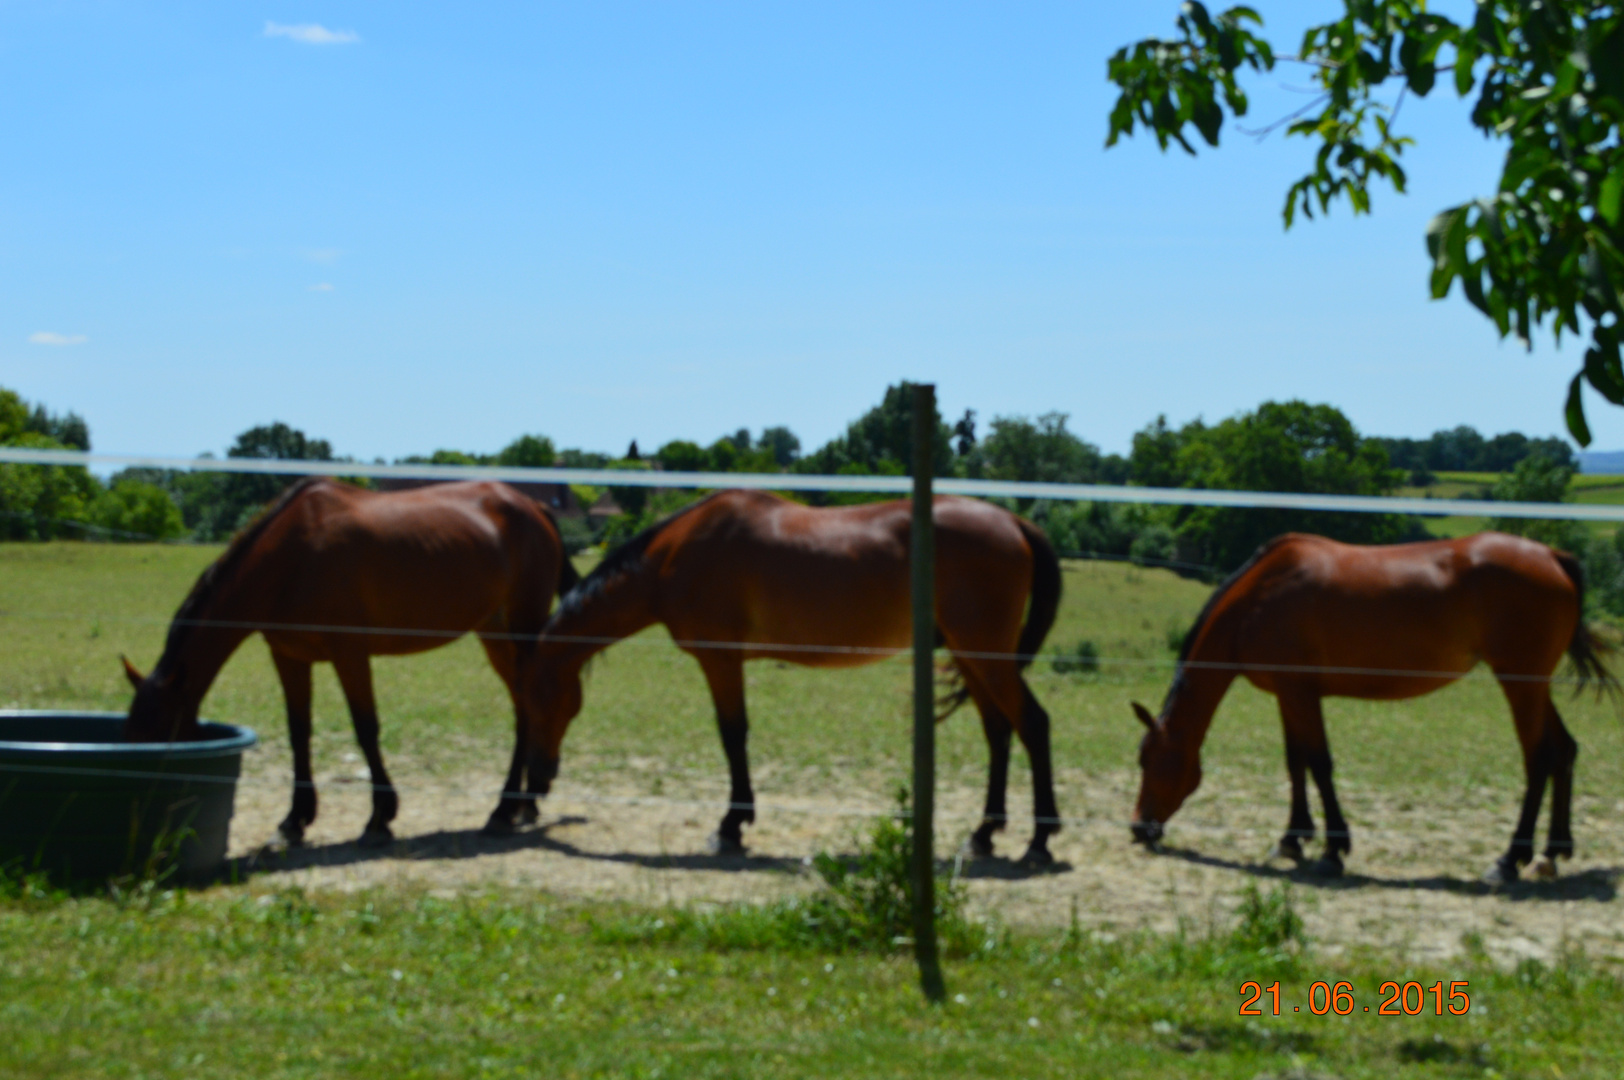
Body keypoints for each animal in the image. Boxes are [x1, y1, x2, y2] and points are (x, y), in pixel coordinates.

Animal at [128, 477, 584, 844]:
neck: (294, 554)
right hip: (493, 632)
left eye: (160, 732)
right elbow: (298, 732)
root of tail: (533, 507)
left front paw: (380, 818)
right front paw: (294, 820)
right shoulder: (289, 656)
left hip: (523, 628)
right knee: (522, 703)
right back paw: (524, 804)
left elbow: (366, 729)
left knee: (530, 703)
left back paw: (507, 808)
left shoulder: (349, 654)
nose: (146, 806)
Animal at [496, 493, 1078, 864]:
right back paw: (984, 834)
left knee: (1035, 725)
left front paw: (731, 825)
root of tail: (1014, 522)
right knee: (999, 733)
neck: (675, 556)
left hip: (987, 655)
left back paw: (1040, 841)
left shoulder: (720, 660)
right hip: (972, 655)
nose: (538, 779)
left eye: (537, 697)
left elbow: (733, 735)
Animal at [1130, 526, 1611, 883]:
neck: (1259, 597)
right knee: (1564, 750)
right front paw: (1292, 838)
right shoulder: (1289, 695)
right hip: (1535, 688)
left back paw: (1509, 859)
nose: (1138, 828)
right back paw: (1552, 852)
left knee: (1539, 758)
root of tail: (1552, 556)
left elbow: (1319, 764)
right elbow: (1296, 762)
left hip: (1520, 685)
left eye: (1152, 761)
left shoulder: (1301, 694)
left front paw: (1332, 849)